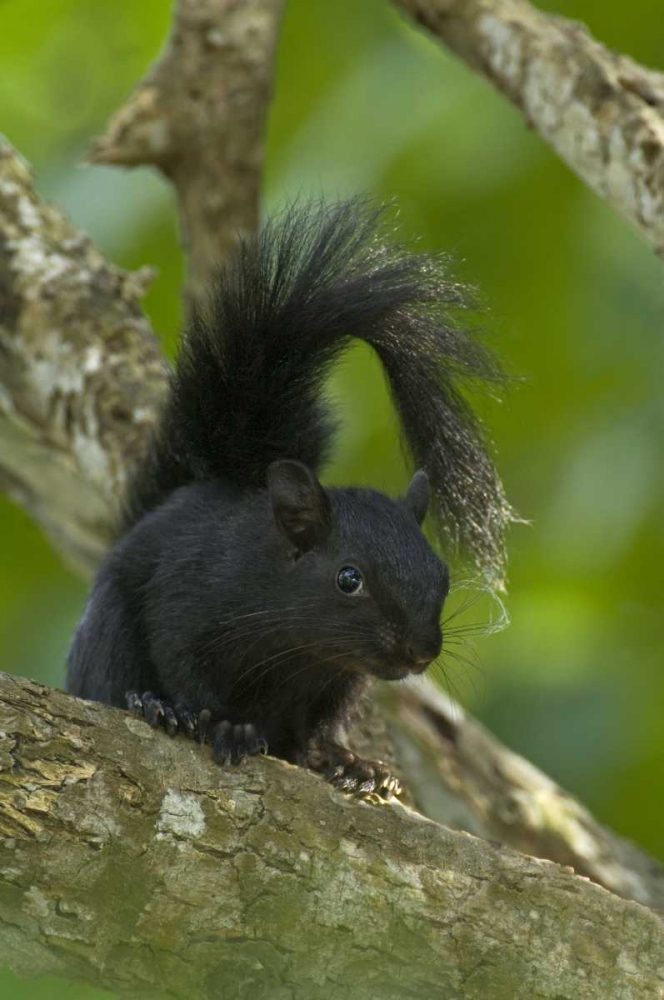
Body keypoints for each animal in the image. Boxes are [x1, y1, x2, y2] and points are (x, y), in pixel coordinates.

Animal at [66, 199, 511, 796]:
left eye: (441, 575)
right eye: (348, 579)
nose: (421, 651)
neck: (297, 648)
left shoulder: (337, 679)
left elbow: (316, 730)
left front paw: (349, 761)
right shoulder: (186, 597)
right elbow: (183, 665)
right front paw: (219, 722)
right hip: (107, 630)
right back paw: (153, 706)